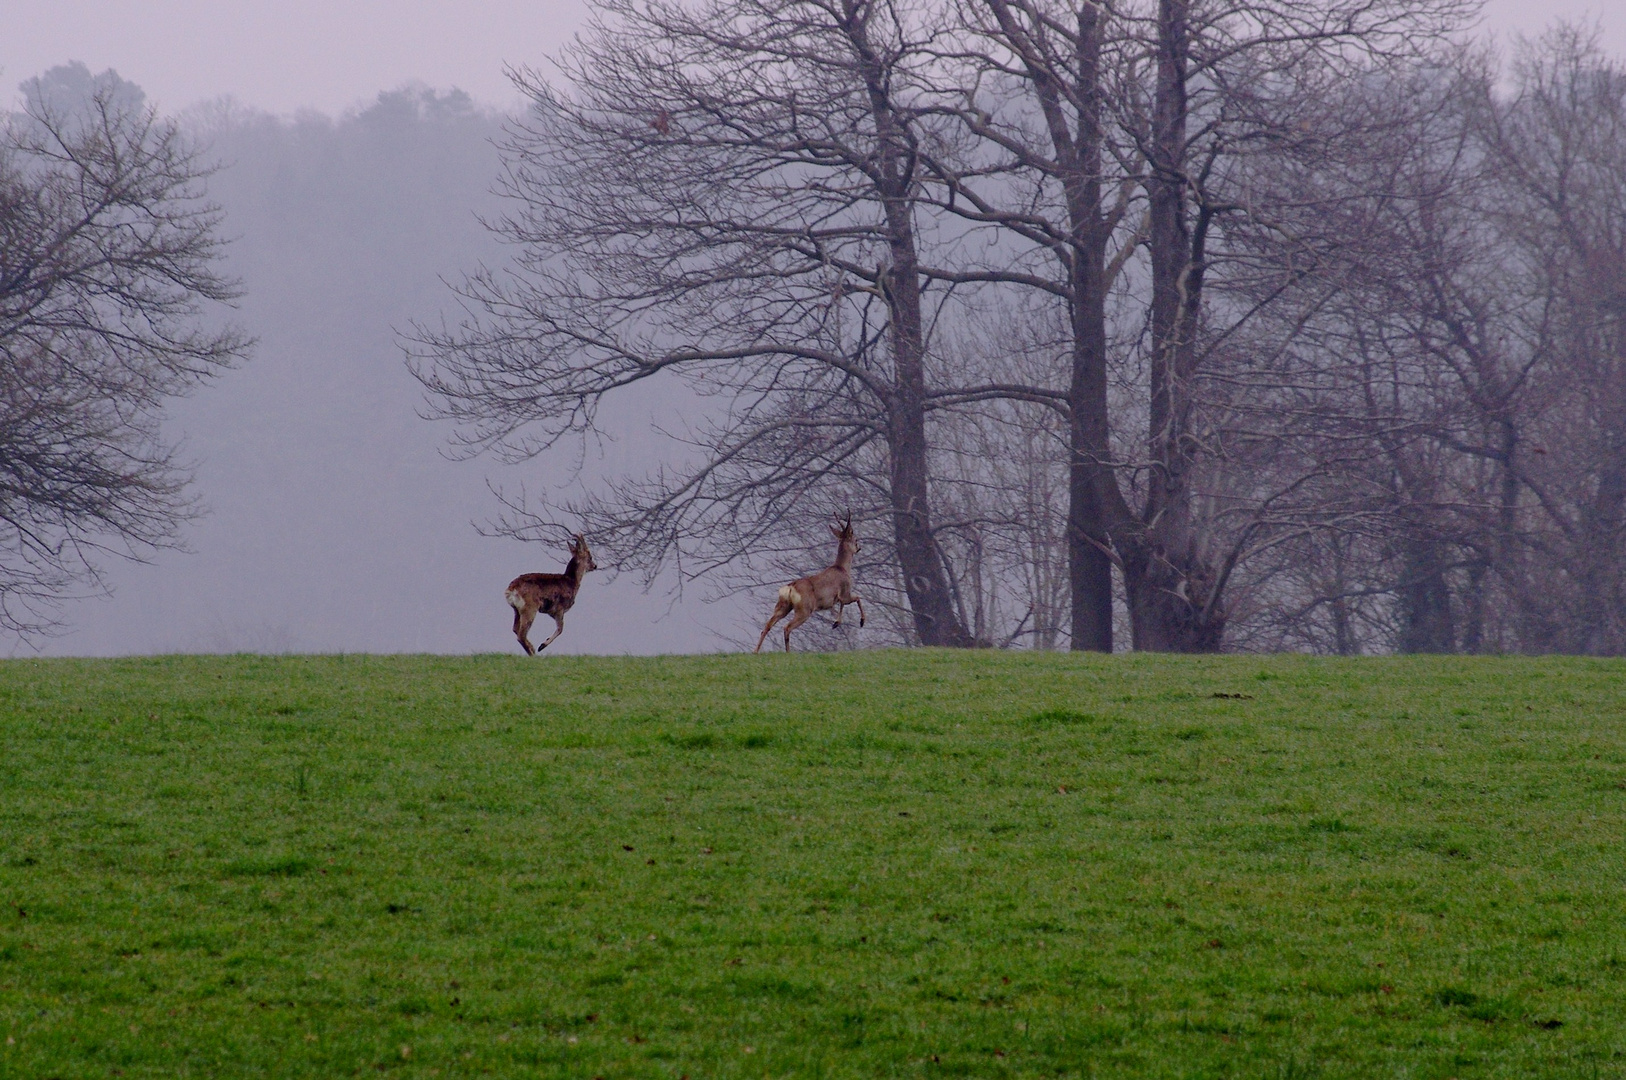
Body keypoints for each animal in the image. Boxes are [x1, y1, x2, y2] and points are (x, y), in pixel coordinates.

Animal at [757, 513, 871, 653]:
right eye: (856, 539)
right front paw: (861, 621)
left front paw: (836, 623)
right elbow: (857, 598)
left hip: (783, 606)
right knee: (787, 627)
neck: (842, 568)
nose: (859, 548)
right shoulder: (845, 592)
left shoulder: (838, 597)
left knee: (767, 626)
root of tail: (791, 587)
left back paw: (756, 651)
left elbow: (841, 605)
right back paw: (788, 652)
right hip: (805, 609)